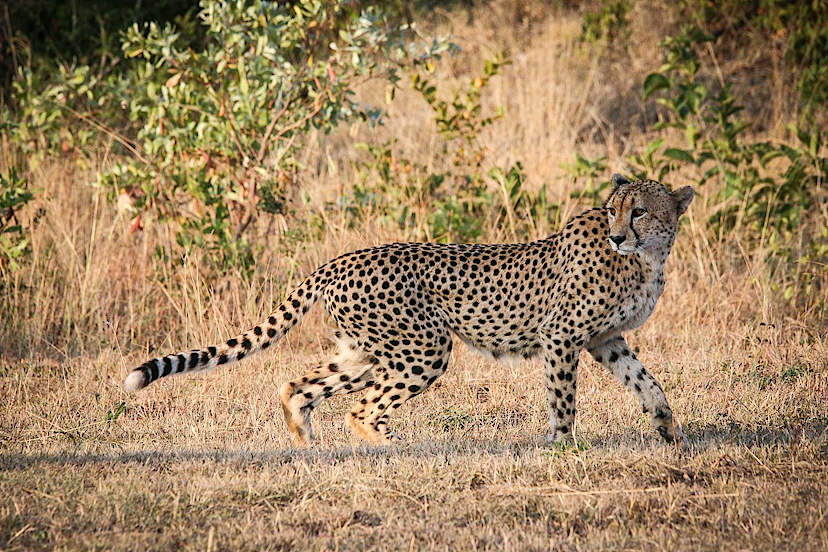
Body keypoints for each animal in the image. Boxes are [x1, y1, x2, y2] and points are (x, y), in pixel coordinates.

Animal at [124, 174, 694, 448]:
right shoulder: (562, 338)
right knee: (361, 408)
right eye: (613, 211)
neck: (645, 258)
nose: (618, 235)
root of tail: (339, 259)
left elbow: (649, 385)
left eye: (639, 211)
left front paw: (671, 434)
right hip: (423, 349)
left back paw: (308, 445)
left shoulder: (606, 340)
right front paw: (562, 448)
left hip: (365, 351)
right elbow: (564, 400)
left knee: (298, 387)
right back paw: (393, 447)